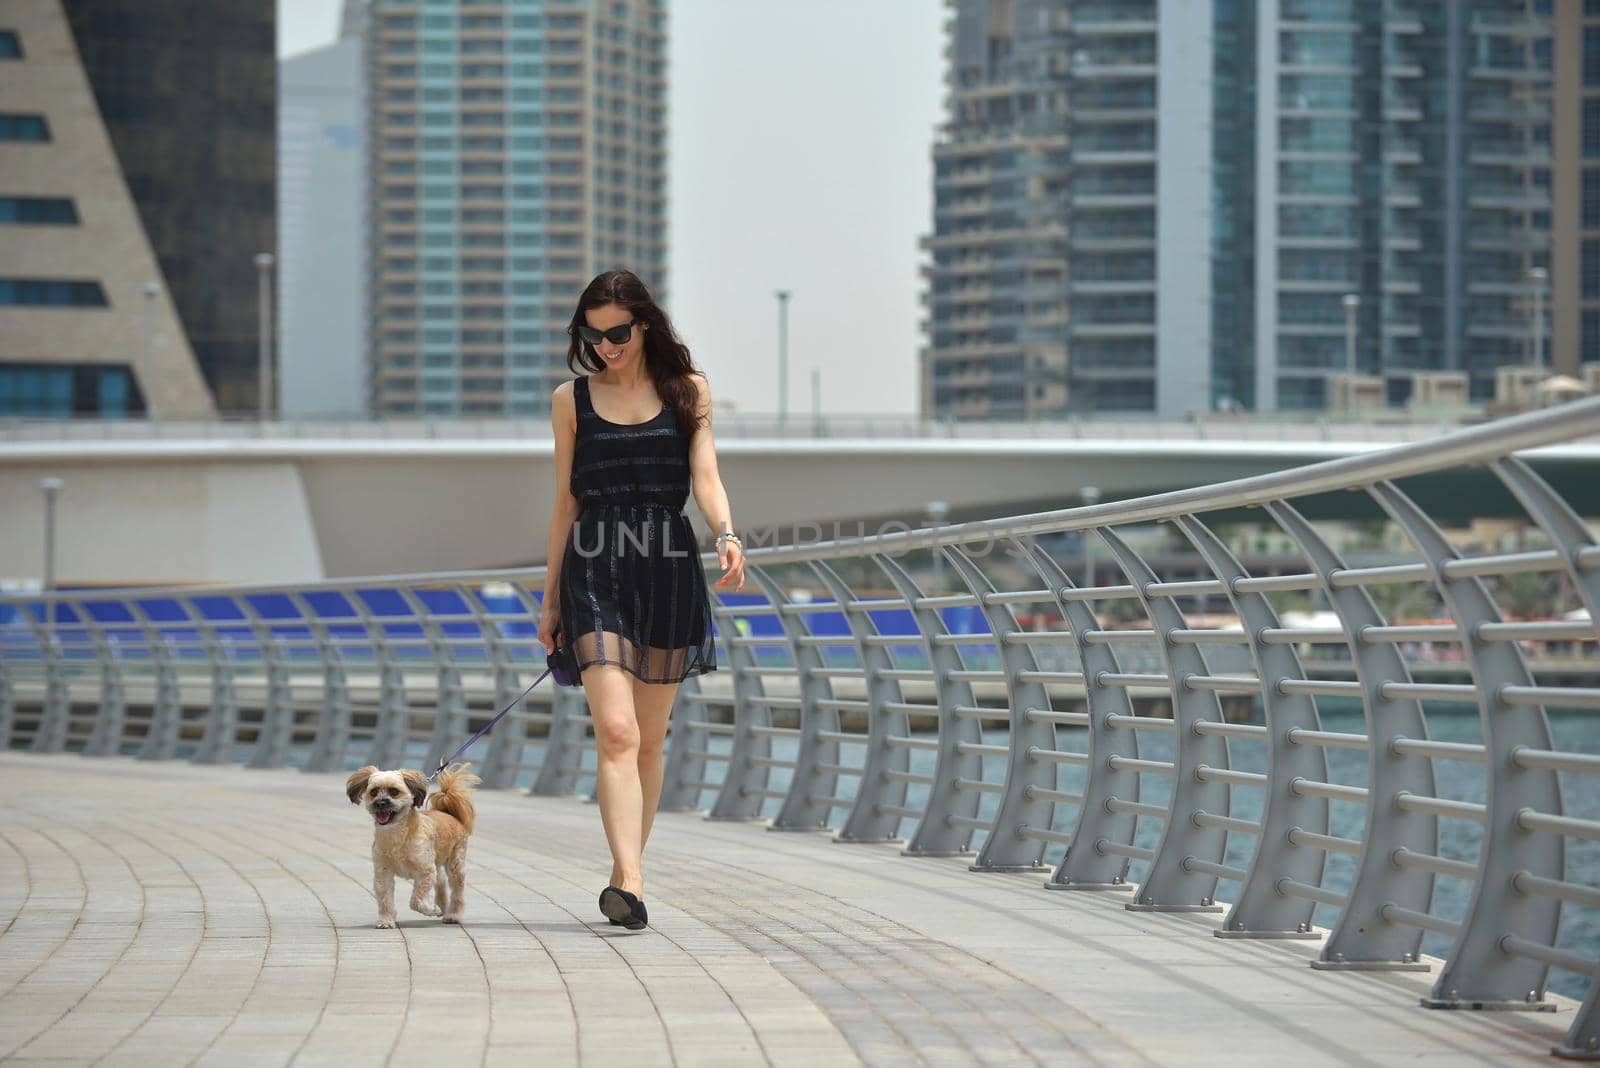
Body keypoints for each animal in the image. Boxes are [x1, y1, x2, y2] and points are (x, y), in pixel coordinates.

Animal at [345, 757, 480, 927]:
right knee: (441, 882)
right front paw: (386, 920)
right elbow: (385, 899)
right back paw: (442, 906)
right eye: (373, 792)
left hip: (455, 864)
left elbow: (415, 901)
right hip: (437, 864)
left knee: (457, 892)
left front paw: (431, 909)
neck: (397, 836)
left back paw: (452, 915)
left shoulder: (425, 872)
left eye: (394, 791)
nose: (381, 803)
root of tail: (449, 814)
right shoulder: (383, 872)